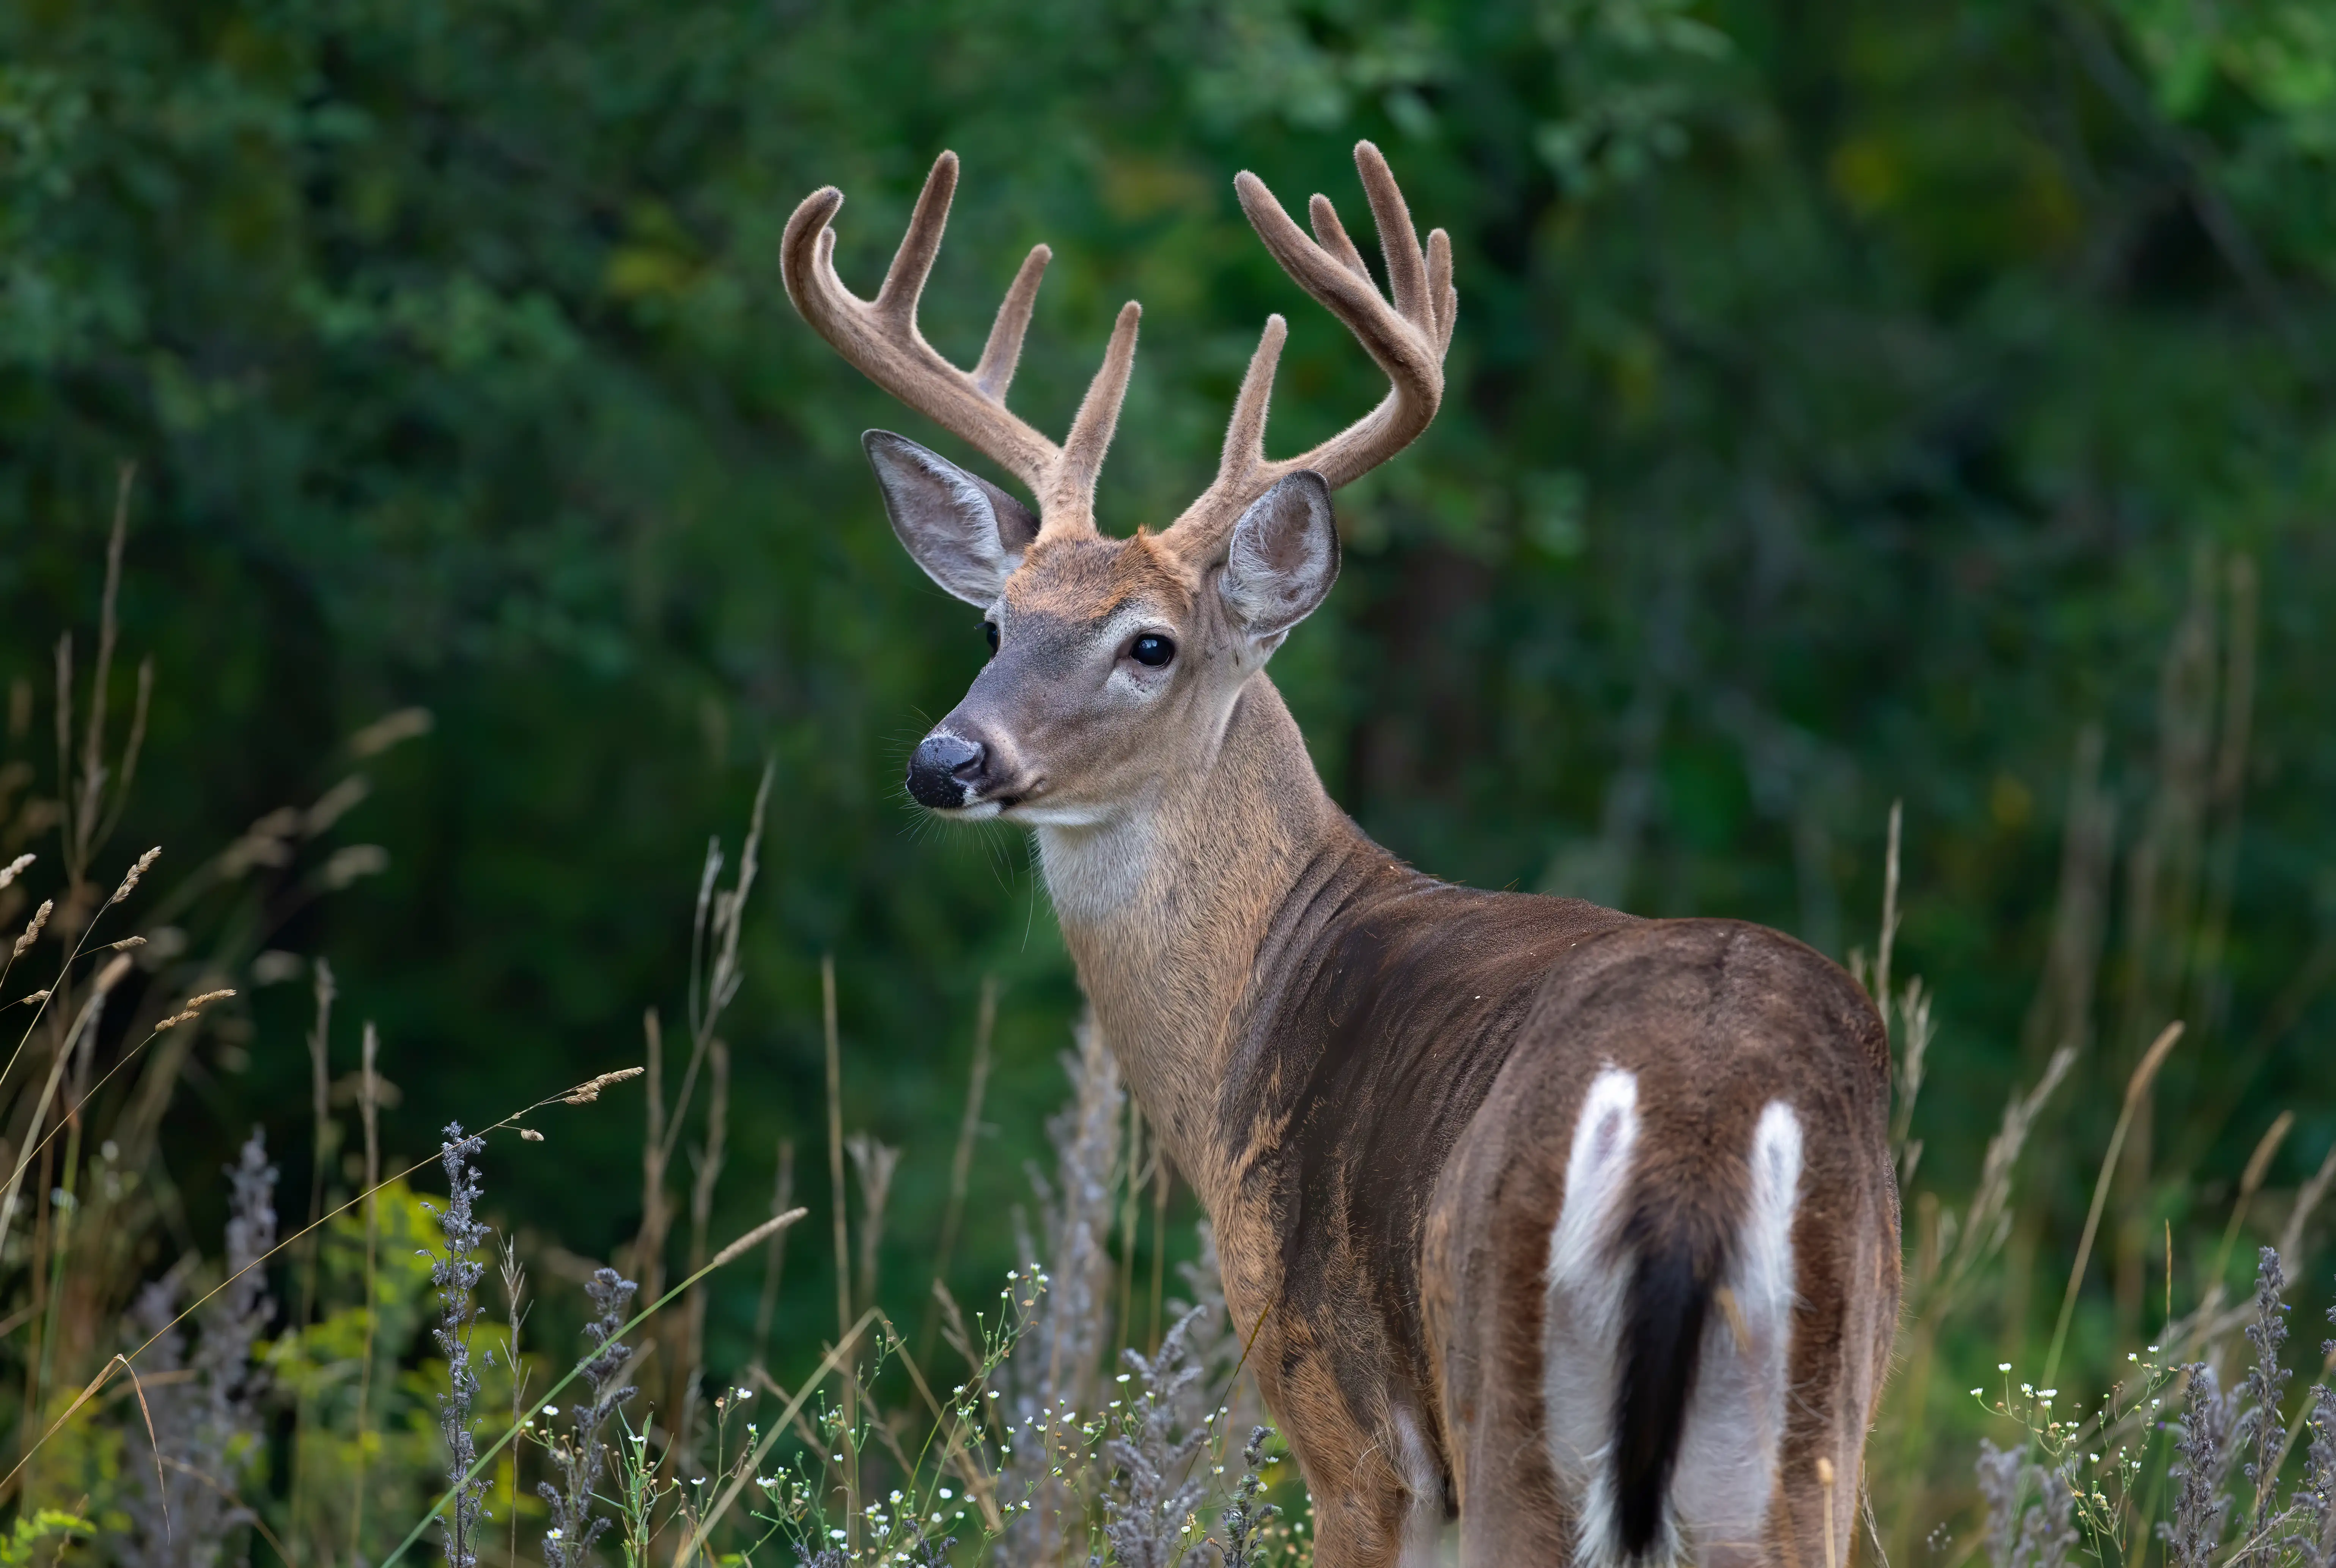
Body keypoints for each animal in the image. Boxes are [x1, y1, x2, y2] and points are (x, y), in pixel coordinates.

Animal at [781, 142, 1901, 1568]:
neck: (1262, 992)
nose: (947, 760)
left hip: (1507, 1402)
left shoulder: (1341, 1417)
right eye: (994, 623)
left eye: (1149, 644)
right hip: (1808, 1435)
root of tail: (1694, 1145)